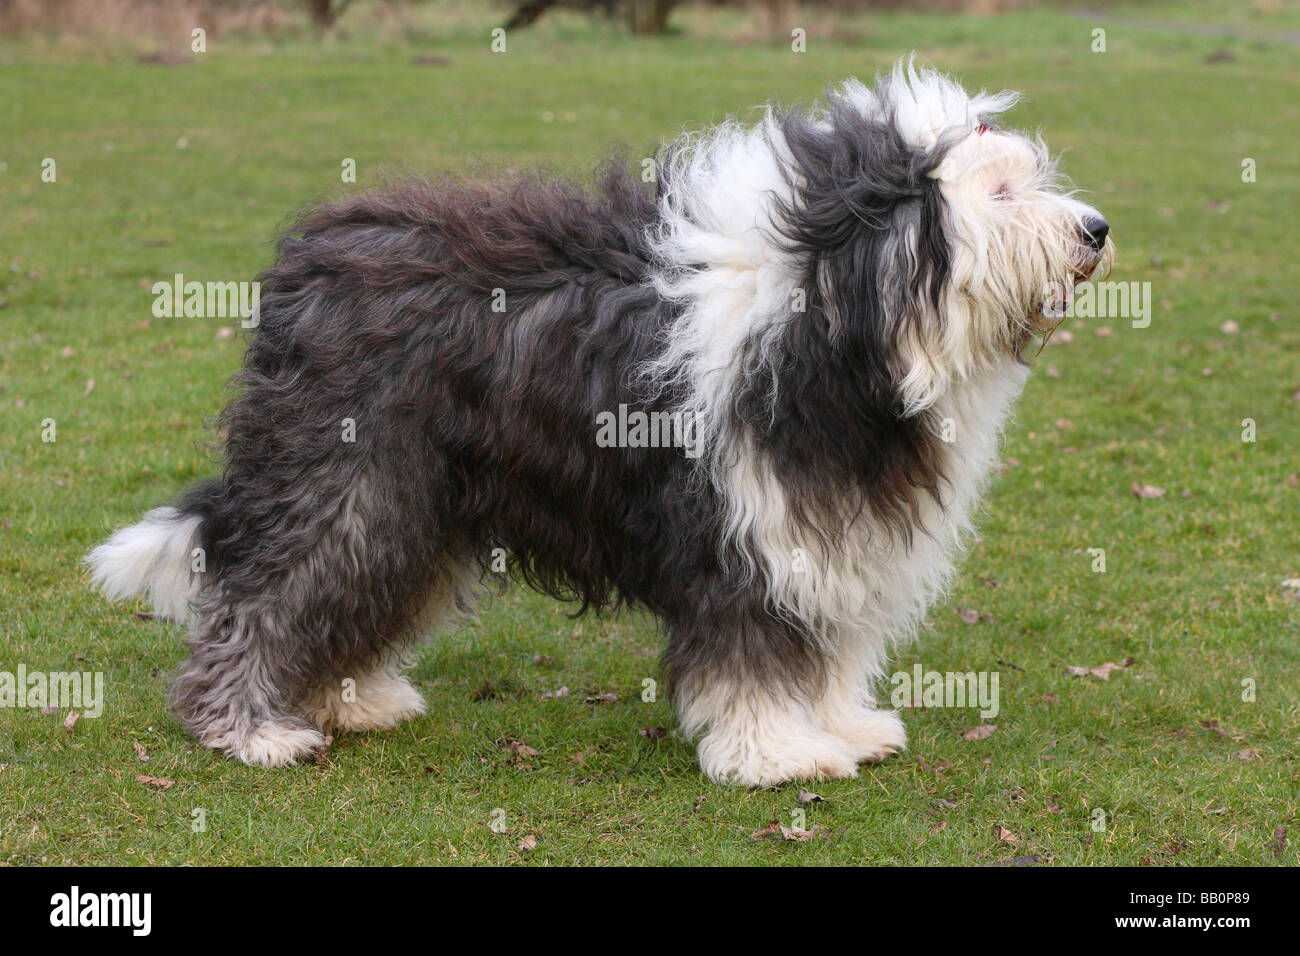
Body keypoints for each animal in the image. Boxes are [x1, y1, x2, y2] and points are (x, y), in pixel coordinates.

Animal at [89, 63, 1107, 790]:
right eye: (1000, 195)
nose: (1096, 228)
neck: (835, 314)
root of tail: (309, 264)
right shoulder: (744, 526)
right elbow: (753, 649)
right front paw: (774, 754)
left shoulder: (824, 524)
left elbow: (827, 644)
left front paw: (845, 725)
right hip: (346, 476)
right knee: (267, 594)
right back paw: (245, 728)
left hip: (411, 493)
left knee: (360, 588)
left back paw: (352, 699)